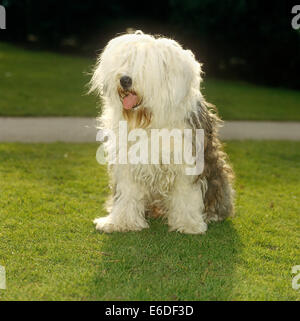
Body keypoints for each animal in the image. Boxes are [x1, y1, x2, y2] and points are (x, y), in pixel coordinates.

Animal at [89, 30, 234, 235]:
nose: (125, 80)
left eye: (145, 67)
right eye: (127, 61)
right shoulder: (127, 161)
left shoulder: (188, 160)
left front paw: (188, 224)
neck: (148, 122)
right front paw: (121, 222)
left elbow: (186, 194)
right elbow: (128, 193)